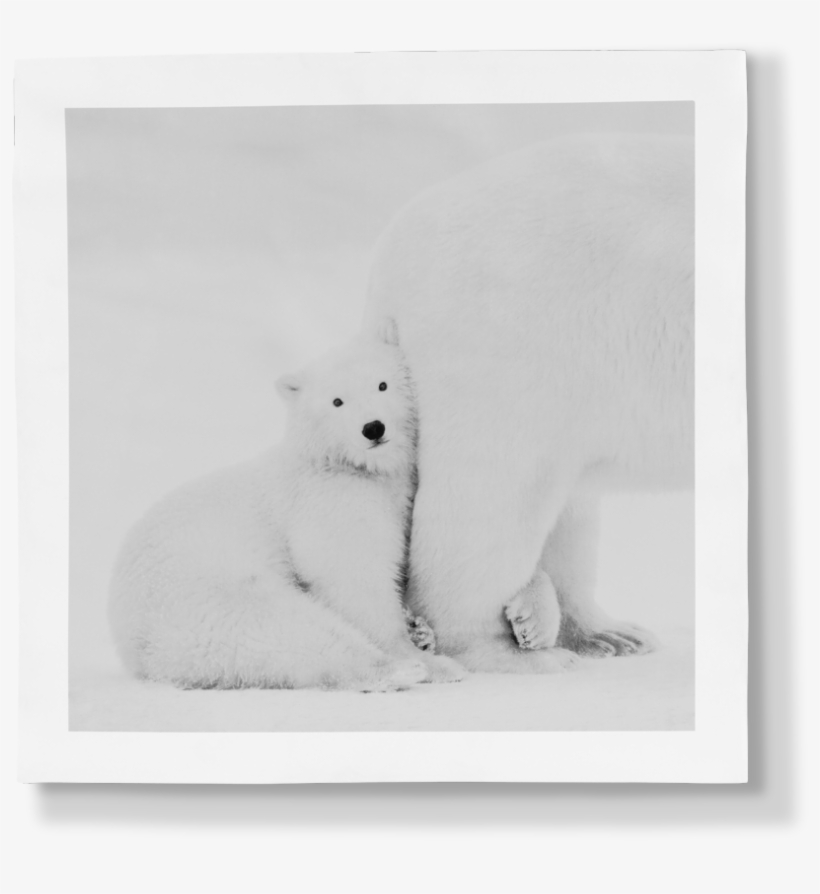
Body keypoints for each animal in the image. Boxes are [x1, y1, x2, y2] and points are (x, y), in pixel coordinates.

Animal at [108, 325, 465, 690]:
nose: (373, 428)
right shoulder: (327, 501)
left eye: (383, 384)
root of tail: (135, 650)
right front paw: (419, 655)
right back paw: (399, 670)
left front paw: (418, 630)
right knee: (287, 629)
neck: (339, 464)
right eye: (337, 401)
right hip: (203, 593)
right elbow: (354, 576)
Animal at [362, 134, 694, 674]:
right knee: (490, 500)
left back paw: (607, 634)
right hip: (519, 347)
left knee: (569, 504)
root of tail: (390, 257)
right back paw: (513, 653)